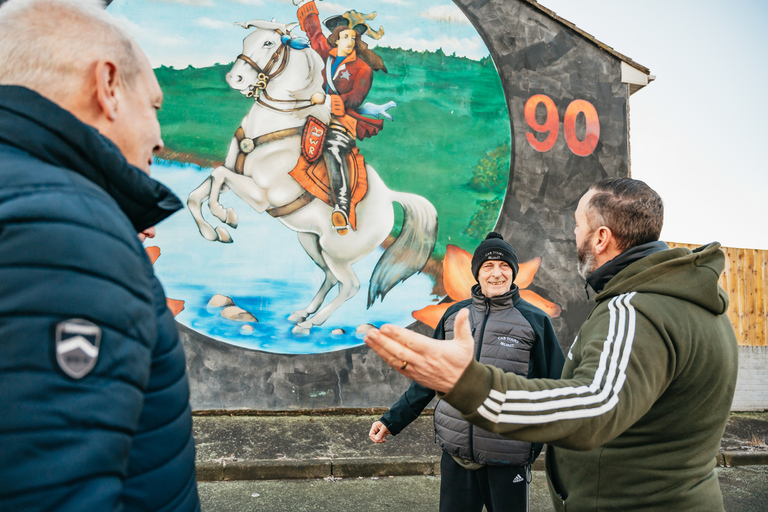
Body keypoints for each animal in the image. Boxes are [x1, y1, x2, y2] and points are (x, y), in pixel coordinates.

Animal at [188, 20, 438, 334]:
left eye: (269, 43)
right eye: (247, 39)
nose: (235, 78)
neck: (276, 125)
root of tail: (390, 197)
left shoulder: (261, 196)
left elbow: (216, 179)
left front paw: (226, 217)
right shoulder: (235, 175)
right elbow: (200, 190)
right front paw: (213, 231)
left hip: (337, 252)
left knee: (350, 285)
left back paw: (312, 323)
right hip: (311, 241)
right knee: (330, 277)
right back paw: (302, 314)